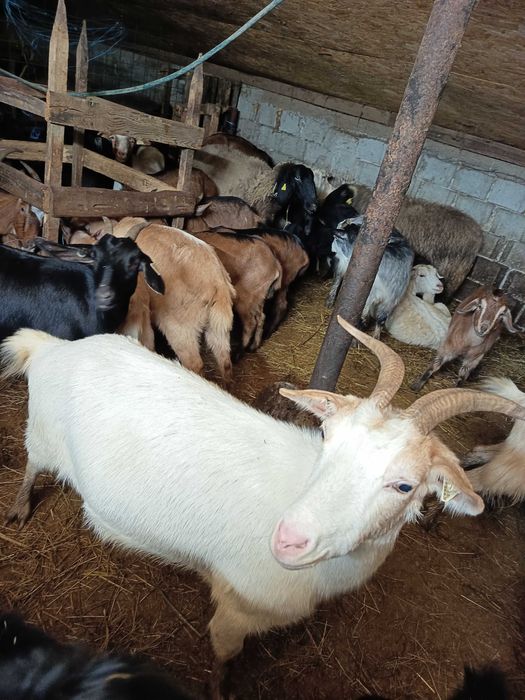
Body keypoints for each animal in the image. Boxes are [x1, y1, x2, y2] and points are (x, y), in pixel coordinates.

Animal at [4, 318, 525, 677]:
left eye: (405, 485)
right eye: (328, 438)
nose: (288, 540)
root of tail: (54, 347)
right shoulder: (239, 609)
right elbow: (223, 654)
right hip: (42, 433)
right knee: (31, 466)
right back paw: (19, 508)